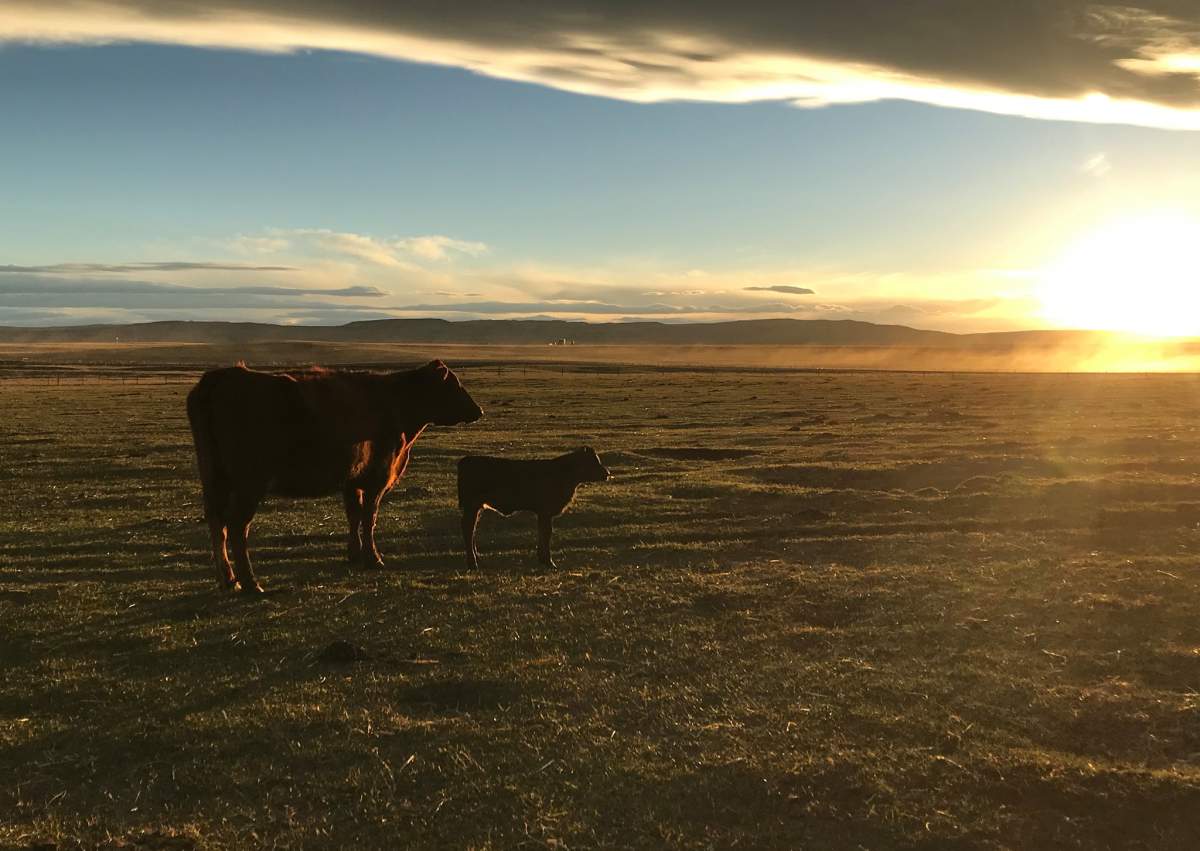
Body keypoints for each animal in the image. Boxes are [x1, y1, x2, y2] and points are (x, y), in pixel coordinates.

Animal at [186, 360, 482, 594]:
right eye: (454, 385)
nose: (478, 411)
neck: (396, 401)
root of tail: (222, 377)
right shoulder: (377, 478)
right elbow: (369, 517)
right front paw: (373, 558)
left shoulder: (352, 480)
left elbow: (354, 515)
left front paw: (354, 554)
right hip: (249, 483)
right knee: (237, 526)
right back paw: (250, 583)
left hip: (214, 479)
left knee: (217, 523)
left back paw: (228, 580)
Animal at [457, 447, 610, 570]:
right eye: (592, 461)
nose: (607, 473)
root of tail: (466, 459)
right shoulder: (546, 512)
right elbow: (546, 534)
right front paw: (549, 562)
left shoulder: (542, 513)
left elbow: (542, 532)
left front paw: (542, 559)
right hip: (471, 506)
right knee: (468, 529)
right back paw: (472, 563)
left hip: (476, 507)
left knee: (472, 528)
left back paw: (476, 556)